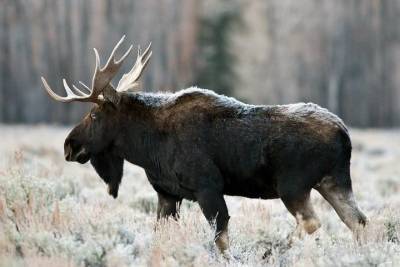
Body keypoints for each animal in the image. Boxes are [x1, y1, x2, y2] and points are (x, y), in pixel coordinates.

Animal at [42, 35, 368, 253]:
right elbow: (160, 233)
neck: (147, 148)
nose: (69, 145)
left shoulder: (207, 186)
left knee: (313, 222)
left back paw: (271, 250)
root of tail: (344, 135)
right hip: (334, 182)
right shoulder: (167, 194)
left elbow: (220, 239)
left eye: (94, 114)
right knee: (358, 220)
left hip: (293, 185)